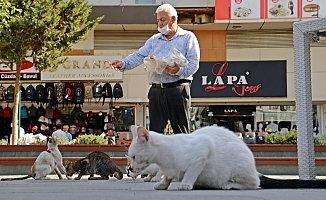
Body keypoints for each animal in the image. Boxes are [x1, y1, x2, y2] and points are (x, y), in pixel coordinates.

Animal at [128, 126, 326, 190]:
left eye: (134, 156)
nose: (130, 168)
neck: (163, 161)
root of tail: (255, 169)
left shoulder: (203, 149)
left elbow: (191, 171)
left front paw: (185, 184)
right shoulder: (167, 170)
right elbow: (167, 176)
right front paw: (162, 184)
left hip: (240, 169)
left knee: (255, 183)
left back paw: (229, 184)